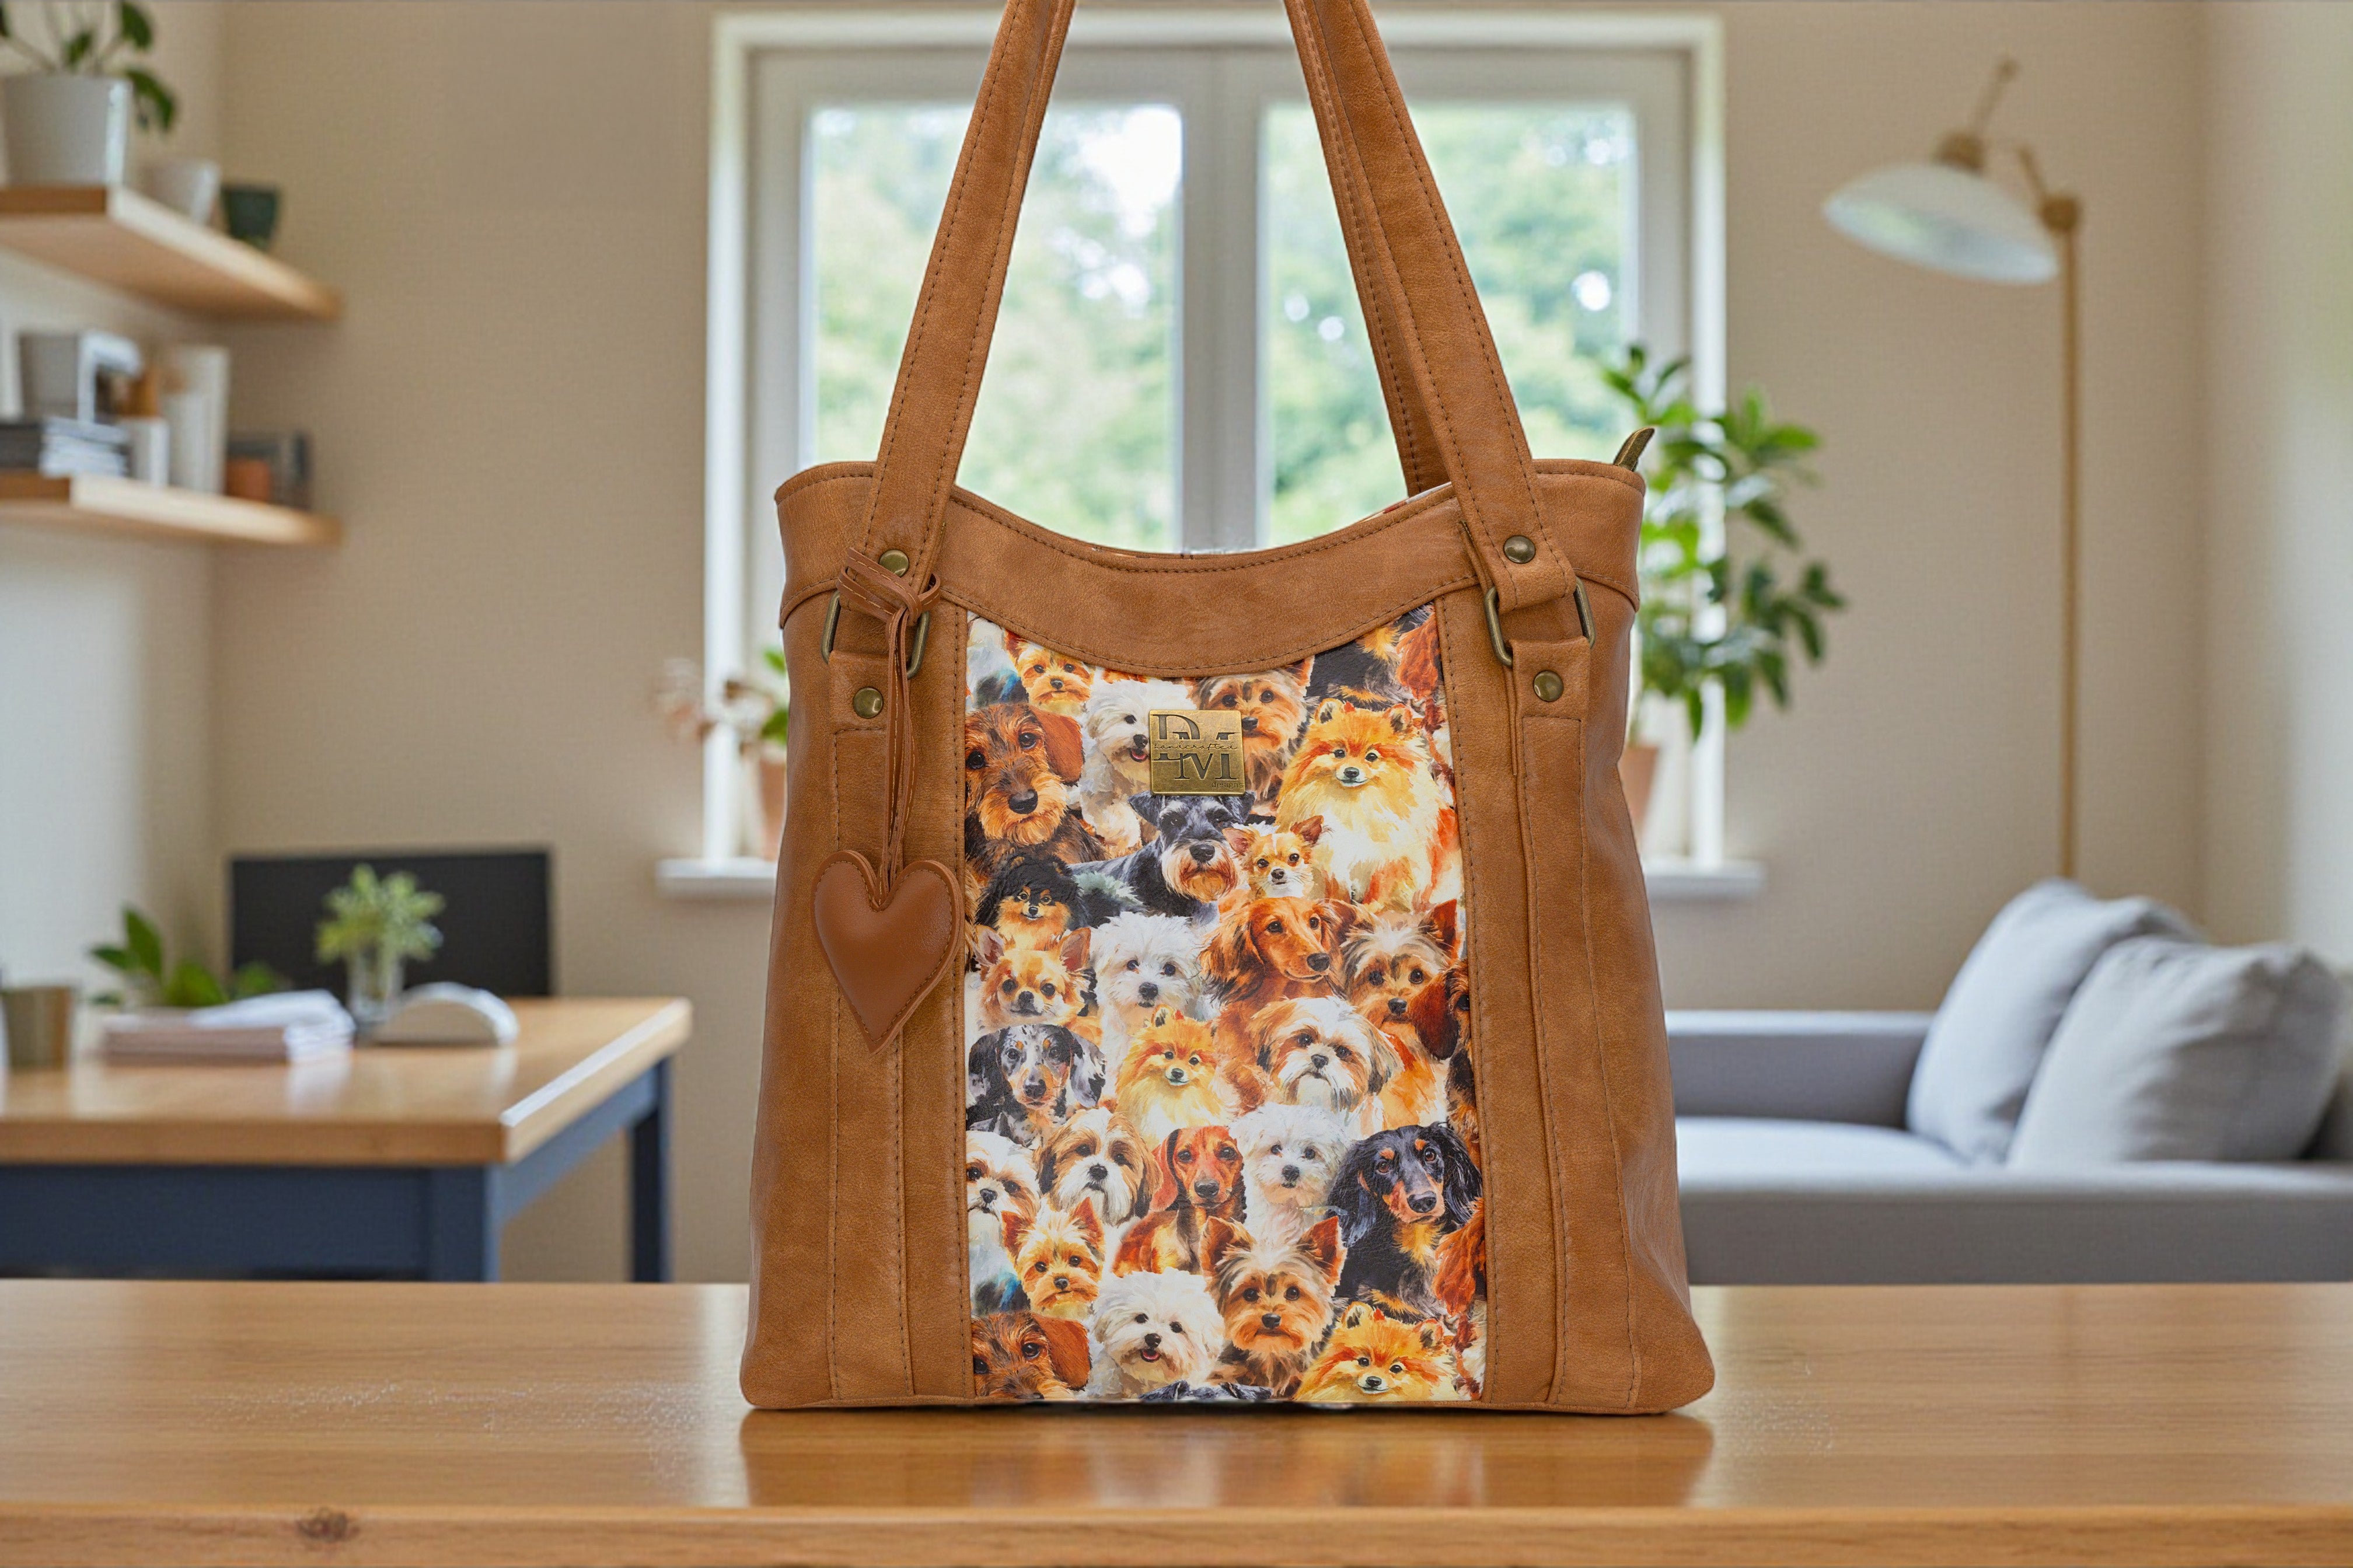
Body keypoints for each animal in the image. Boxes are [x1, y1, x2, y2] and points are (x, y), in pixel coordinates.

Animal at [1076, 679, 1195, 855]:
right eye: (1130, 719)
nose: (1141, 739)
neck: (1137, 774)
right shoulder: (1099, 791)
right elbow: (1118, 816)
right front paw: (1130, 837)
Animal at [1275, 699, 1447, 910]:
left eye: (1371, 757)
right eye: (1340, 753)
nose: (1351, 772)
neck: (1353, 806)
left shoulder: (1387, 859)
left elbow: (1378, 889)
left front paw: (1368, 911)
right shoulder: (1333, 860)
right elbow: (1337, 891)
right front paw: (1337, 906)